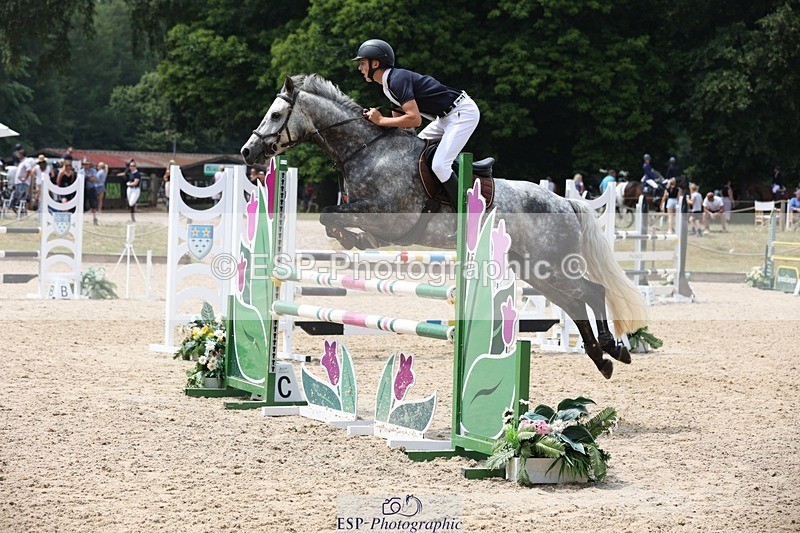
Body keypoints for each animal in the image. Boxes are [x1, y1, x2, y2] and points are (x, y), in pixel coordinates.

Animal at [240, 74, 648, 379]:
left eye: (276, 114)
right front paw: (353, 239)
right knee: (575, 301)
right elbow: (331, 215)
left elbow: (330, 213)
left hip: (550, 263)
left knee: (592, 292)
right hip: (535, 269)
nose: (247, 153)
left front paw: (353, 238)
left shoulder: (386, 215)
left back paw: (614, 349)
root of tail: (565, 202)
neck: (367, 150)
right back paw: (602, 358)